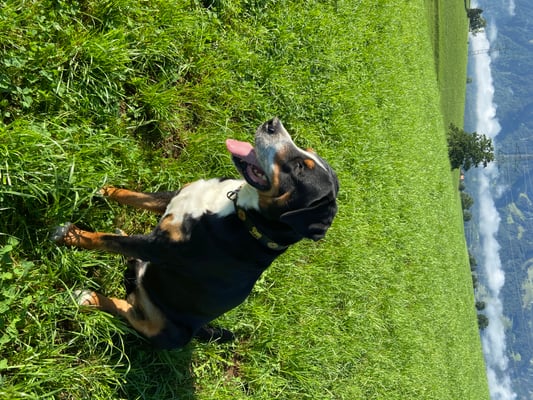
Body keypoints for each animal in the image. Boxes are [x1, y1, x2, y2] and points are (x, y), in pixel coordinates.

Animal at [53, 117, 339, 349]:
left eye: (301, 167)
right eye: (307, 152)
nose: (273, 123)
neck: (238, 211)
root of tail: (200, 331)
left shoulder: (160, 248)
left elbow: (104, 240)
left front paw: (70, 235)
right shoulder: (173, 198)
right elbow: (132, 196)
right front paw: (103, 189)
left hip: (167, 328)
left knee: (130, 312)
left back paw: (87, 298)